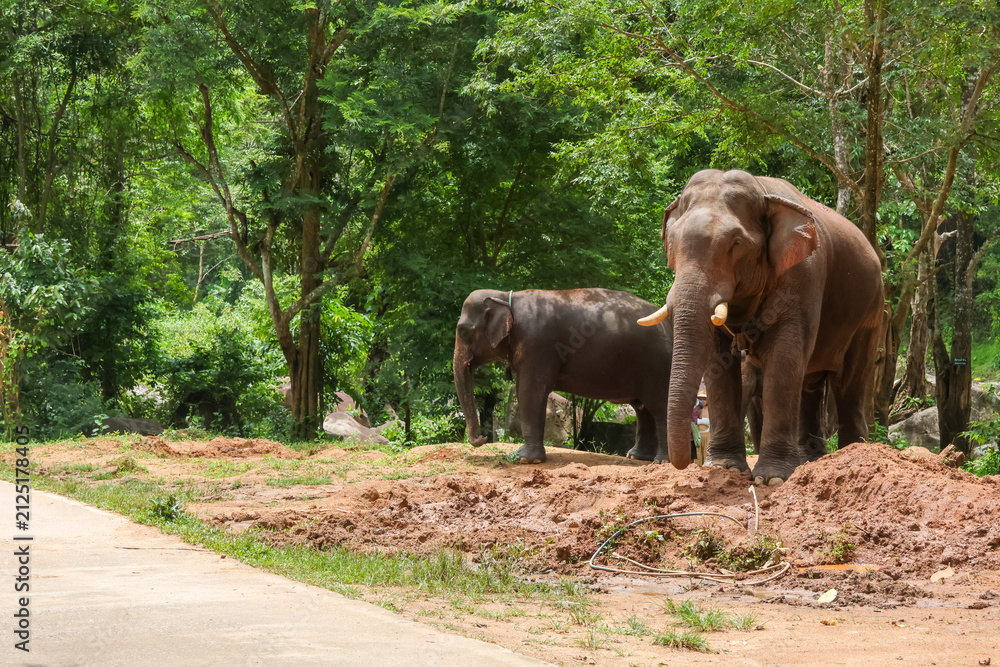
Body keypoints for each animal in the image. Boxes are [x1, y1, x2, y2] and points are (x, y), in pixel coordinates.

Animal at [454, 288, 675, 463]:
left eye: (462, 331)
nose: (482, 439)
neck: (506, 297)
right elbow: (522, 389)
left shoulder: (538, 345)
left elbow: (529, 391)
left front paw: (525, 460)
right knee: (642, 408)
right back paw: (637, 457)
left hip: (658, 365)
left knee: (658, 405)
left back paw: (662, 461)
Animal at [639, 169, 884, 485]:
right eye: (672, 242)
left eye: (735, 243)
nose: (684, 461)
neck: (761, 189)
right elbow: (719, 361)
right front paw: (725, 468)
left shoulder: (804, 274)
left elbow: (784, 357)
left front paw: (772, 479)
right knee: (810, 382)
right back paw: (810, 461)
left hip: (871, 310)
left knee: (850, 381)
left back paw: (851, 454)